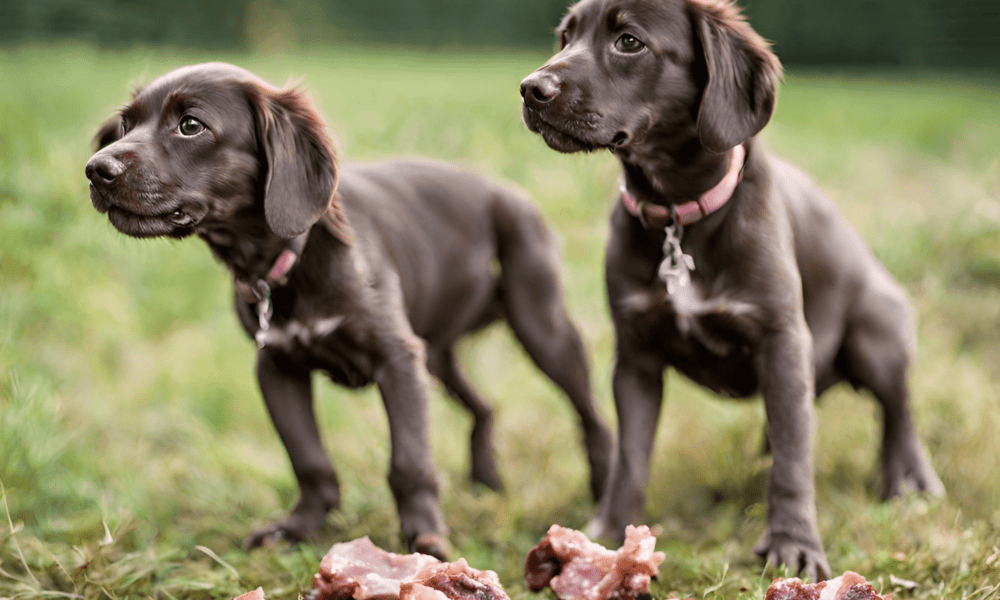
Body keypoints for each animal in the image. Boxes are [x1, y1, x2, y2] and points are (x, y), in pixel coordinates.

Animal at [86, 62, 612, 556]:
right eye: (126, 124)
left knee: (591, 417)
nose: (95, 169)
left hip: (541, 327)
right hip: (436, 355)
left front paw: (426, 540)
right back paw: (487, 481)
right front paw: (297, 528)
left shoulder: (397, 360)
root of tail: (510, 192)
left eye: (191, 125)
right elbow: (309, 460)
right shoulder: (277, 367)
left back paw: (603, 490)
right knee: (485, 407)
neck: (288, 261)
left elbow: (410, 461)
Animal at [524, 0, 944, 580]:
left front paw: (794, 544)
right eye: (566, 38)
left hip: (876, 334)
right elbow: (630, 457)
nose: (530, 88)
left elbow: (794, 460)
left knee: (898, 412)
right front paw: (609, 535)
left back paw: (910, 480)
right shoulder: (635, 356)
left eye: (629, 41)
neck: (678, 217)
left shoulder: (782, 339)